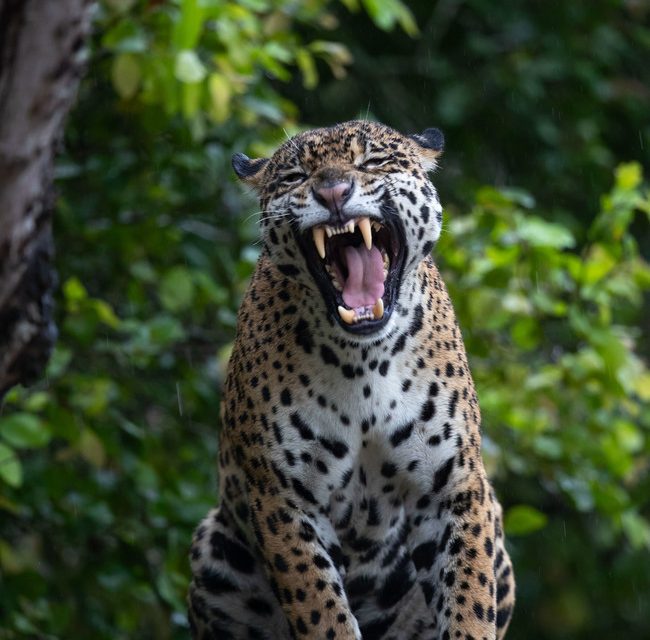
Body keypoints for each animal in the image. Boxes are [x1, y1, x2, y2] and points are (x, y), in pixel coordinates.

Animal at [188, 120, 515, 640]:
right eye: (296, 176)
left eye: (372, 163)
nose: (333, 192)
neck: (364, 360)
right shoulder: (284, 502)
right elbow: (322, 611)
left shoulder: (453, 486)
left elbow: (470, 597)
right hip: (214, 551)